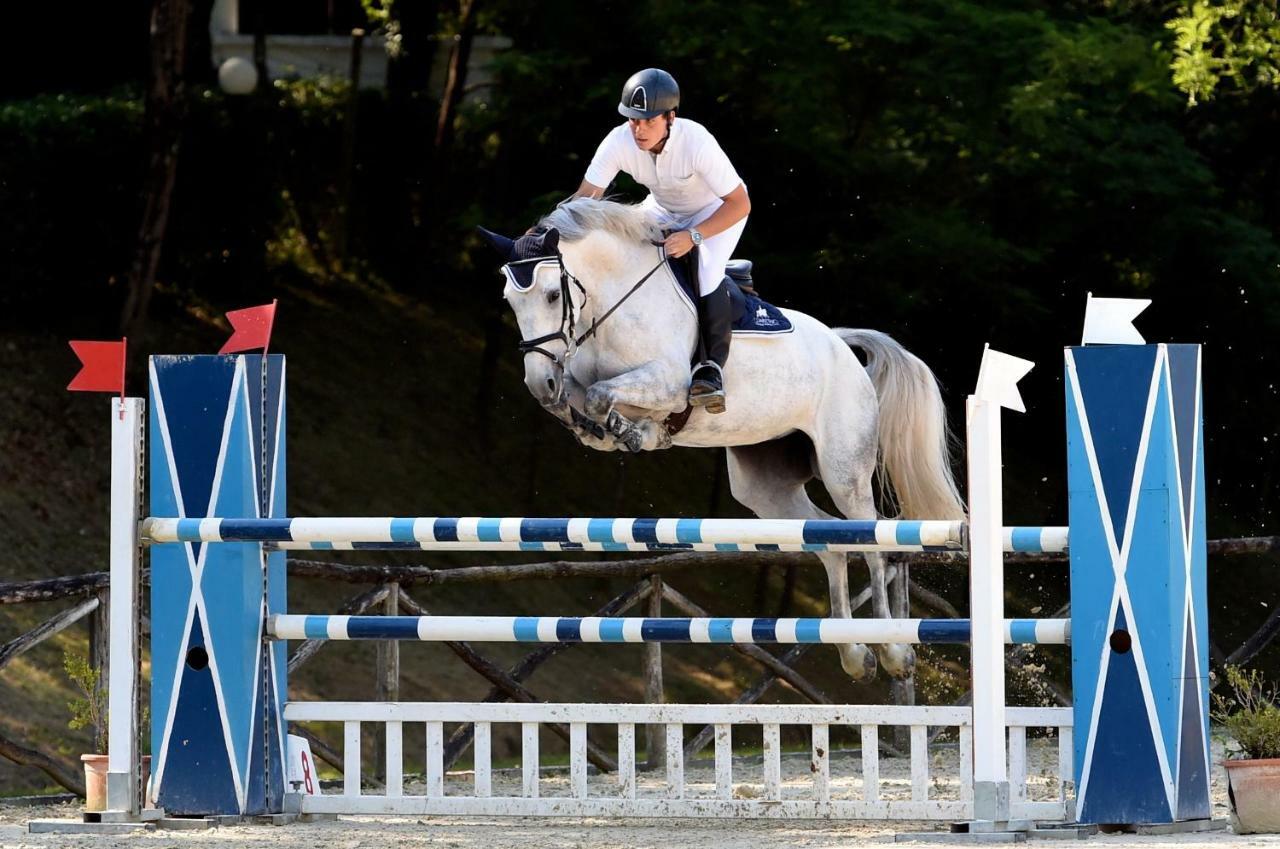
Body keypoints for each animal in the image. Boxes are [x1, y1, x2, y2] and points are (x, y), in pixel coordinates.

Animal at [481, 195, 962, 681]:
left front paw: (636, 431)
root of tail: (841, 345)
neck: (611, 302)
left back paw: (894, 652)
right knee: (829, 543)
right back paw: (854, 654)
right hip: (765, 485)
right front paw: (610, 429)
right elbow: (584, 404)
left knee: (872, 543)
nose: (539, 383)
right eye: (509, 300)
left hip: (845, 470)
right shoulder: (579, 382)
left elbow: (603, 397)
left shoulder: (669, 384)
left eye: (552, 294)